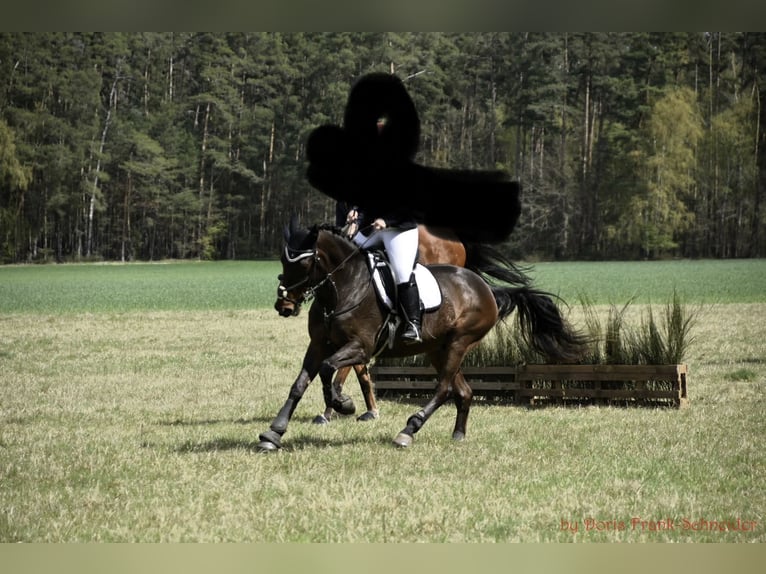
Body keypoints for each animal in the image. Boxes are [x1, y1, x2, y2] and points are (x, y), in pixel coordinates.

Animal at [259, 220, 586, 451]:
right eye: (283, 261)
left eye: (302, 263)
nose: (283, 305)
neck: (342, 288)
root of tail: (485, 288)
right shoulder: (317, 345)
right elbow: (299, 384)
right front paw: (273, 433)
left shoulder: (360, 347)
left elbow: (329, 370)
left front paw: (343, 404)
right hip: (437, 349)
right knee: (463, 390)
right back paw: (458, 434)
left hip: (459, 343)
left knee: (443, 388)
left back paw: (408, 431)